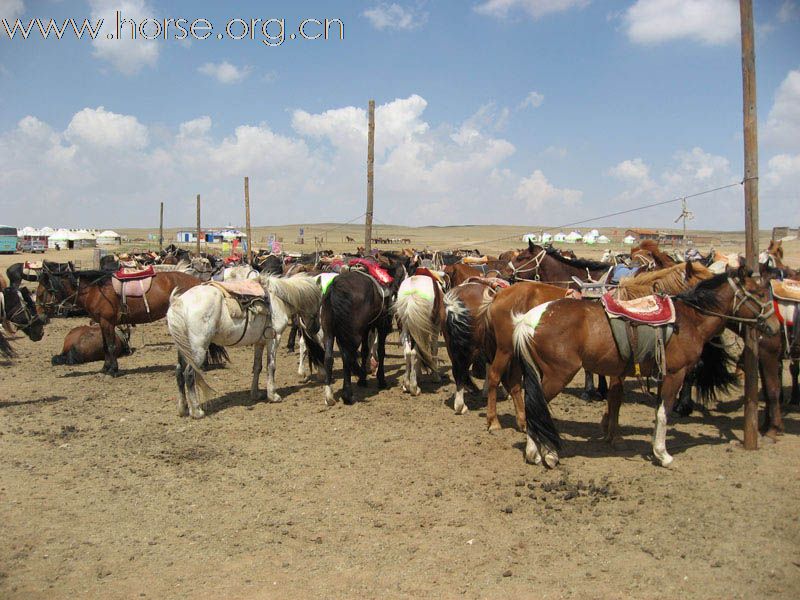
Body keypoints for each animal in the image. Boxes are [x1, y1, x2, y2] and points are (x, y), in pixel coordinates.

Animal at [39, 270, 205, 376]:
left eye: (41, 293)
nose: (40, 317)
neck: (95, 291)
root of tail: (198, 281)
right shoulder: (102, 323)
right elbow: (105, 346)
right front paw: (105, 368)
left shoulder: (107, 322)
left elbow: (111, 346)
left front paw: (113, 370)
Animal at [320, 260, 406, 406]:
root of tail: (335, 288)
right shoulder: (381, 326)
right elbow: (381, 351)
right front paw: (381, 380)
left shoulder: (366, 328)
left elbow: (365, 351)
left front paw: (363, 379)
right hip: (354, 335)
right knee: (347, 358)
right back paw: (347, 395)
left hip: (329, 332)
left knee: (328, 358)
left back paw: (329, 396)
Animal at [510, 270, 780, 472]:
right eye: (758, 293)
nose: (775, 326)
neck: (690, 320)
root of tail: (529, 319)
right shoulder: (675, 374)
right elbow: (664, 413)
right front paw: (663, 455)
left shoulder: (662, 375)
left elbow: (657, 411)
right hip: (558, 375)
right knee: (536, 407)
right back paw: (543, 455)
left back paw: (539, 452)